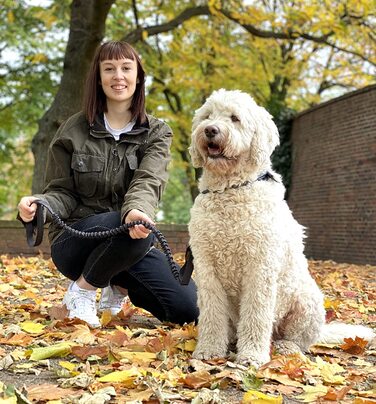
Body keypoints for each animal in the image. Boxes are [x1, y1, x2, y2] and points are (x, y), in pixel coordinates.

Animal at [189, 90, 374, 368]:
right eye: (207, 116)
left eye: (235, 118)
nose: (210, 130)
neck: (230, 189)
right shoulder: (206, 266)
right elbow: (211, 313)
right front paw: (209, 350)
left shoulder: (260, 266)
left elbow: (256, 312)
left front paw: (252, 355)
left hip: (308, 301)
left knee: (299, 340)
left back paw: (286, 347)